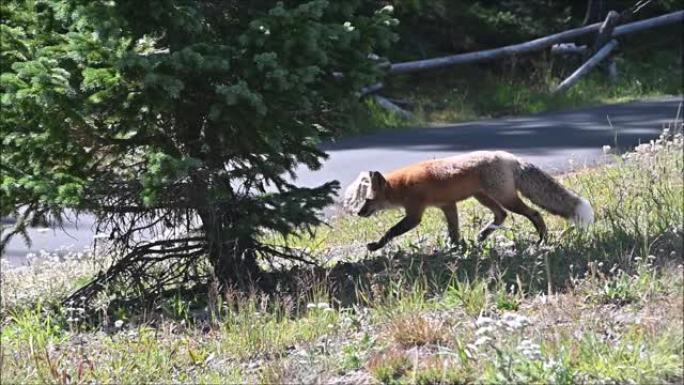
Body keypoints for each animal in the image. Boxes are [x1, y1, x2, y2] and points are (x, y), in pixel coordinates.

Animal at [342, 150, 592, 252]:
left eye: (368, 200)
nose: (358, 213)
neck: (403, 185)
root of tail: (509, 157)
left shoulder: (415, 214)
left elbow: (391, 231)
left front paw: (376, 246)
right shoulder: (447, 205)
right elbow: (454, 231)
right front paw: (456, 248)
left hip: (504, 198)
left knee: (534, 213)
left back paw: (542, 239)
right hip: (483, 197)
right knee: (501, 215)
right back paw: (482, 236)